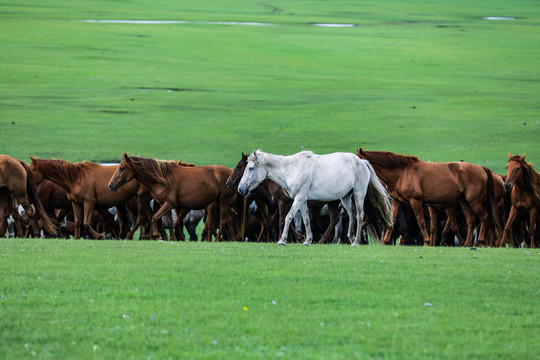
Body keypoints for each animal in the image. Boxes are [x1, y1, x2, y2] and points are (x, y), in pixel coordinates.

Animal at [107, 153, 238, 240]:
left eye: (121, 168)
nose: (111, 185)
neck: (163, 178)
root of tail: (230, 174)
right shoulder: (164, 204)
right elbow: (170, 221)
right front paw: (172, 238)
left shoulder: (169, 204)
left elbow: (154, 217)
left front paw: (156, 235)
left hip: (223, 202)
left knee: (223, 221)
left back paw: (217, 240)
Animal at [238, 150, 390, 248]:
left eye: (250, 168)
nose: (240, 189)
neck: (292, 169)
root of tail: (361, 162)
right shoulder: (303, 200)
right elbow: (306, 220)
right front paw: (307, 241)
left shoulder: (299, 198)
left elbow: (288, 217)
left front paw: (282, 240)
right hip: (346, 197)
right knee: (351, 215)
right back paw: (351, 237)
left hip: (359, 194)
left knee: (359, 216)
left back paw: (356, 241)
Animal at [356, 149, 500, 248]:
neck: (402, 173)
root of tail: (482, 168)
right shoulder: (397, 202)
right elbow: (390, 222)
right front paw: (385, 241)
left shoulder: (415, 201)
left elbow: (421, 222)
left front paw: (426, 242)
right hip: (464, 202)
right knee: (471, 221)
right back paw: (467, 243)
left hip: (474, 201)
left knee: (484, 217)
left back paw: (479, 242)